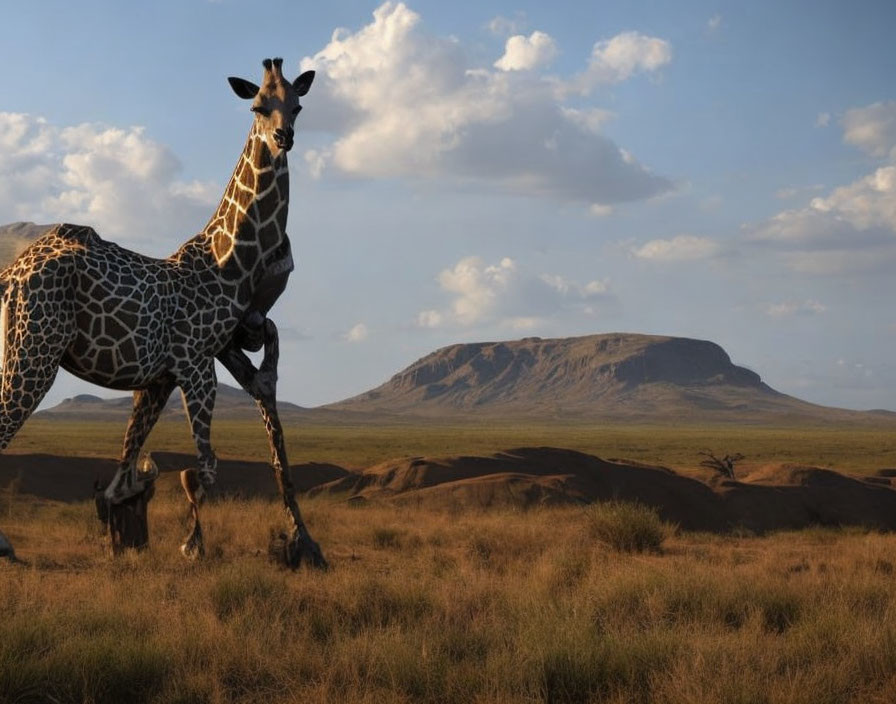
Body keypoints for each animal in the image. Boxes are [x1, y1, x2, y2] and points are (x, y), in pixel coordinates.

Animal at [0, 57, 328, 568]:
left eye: (297, 105)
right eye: (257, 105)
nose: (283, 137)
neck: (227, 262)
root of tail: (12, 274)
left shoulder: (163, 376)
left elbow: (125, 478)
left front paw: (126, 539)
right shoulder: (195, 364)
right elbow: (202, 470)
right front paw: (191, 545)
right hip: (34, 353)